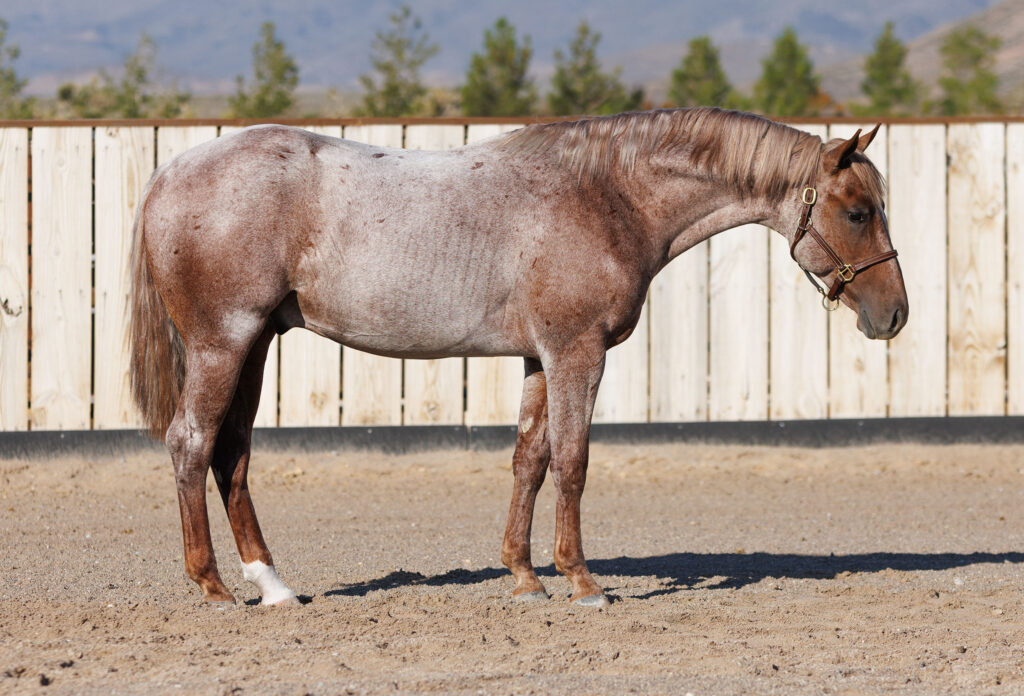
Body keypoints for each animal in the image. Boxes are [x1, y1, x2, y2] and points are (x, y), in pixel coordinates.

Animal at [128, 107, 908, 608]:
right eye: (858, 210)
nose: (894, 314)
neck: (605, 195)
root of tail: (171, 172)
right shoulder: (575, 353)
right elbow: (573, 461)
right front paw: (582, 582)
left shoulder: (539, 359)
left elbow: (529, 459)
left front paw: (526, 577)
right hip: (224, 342)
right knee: (192, 442)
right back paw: (213, 586)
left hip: (255, 344)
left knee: (232, 455)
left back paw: (274, 586)